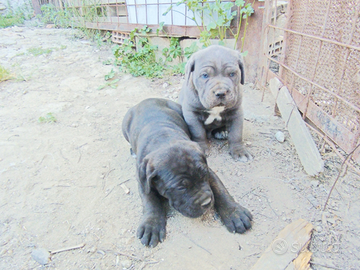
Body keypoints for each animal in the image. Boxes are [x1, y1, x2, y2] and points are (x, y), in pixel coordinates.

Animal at [122, 98, 252, 247]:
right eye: (180, 188)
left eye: (204, 176)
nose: (207, 202)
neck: (163, 139)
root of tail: (147, 99)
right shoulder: (143, 180)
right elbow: (150, 202)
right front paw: (151, 225)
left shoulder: (210, 172)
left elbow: (221, 191)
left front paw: (235, 213)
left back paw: (221, 131)